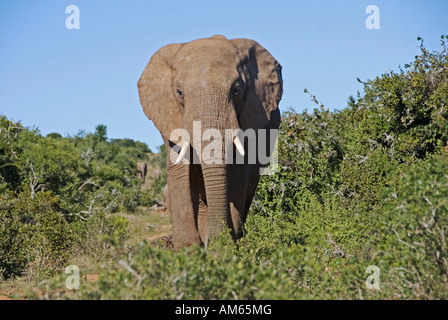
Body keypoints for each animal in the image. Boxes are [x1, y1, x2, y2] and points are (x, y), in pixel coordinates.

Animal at [138, 35, 282, 250]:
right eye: (180, 93)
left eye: (236, 90)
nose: (216, 240)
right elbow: (179, 168)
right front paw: (189, 250)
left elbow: (239, 172)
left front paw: (224, 247)